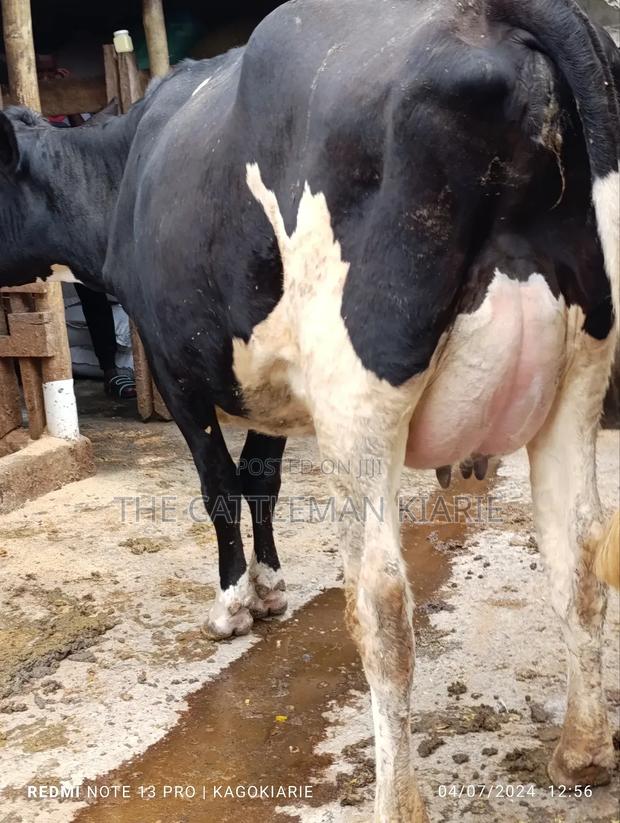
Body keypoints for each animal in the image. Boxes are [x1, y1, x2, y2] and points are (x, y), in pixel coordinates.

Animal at [0, 1, 618, 819]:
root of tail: (486, 13)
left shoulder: (177, 368)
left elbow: (220, 487)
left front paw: (234, 604)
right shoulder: (276, 386)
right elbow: (261, 478)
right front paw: (271, 587)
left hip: (358, 399)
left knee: (383, 606)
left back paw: (398, 799)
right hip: (578, 377)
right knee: (578, 556)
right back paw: (582, 751)